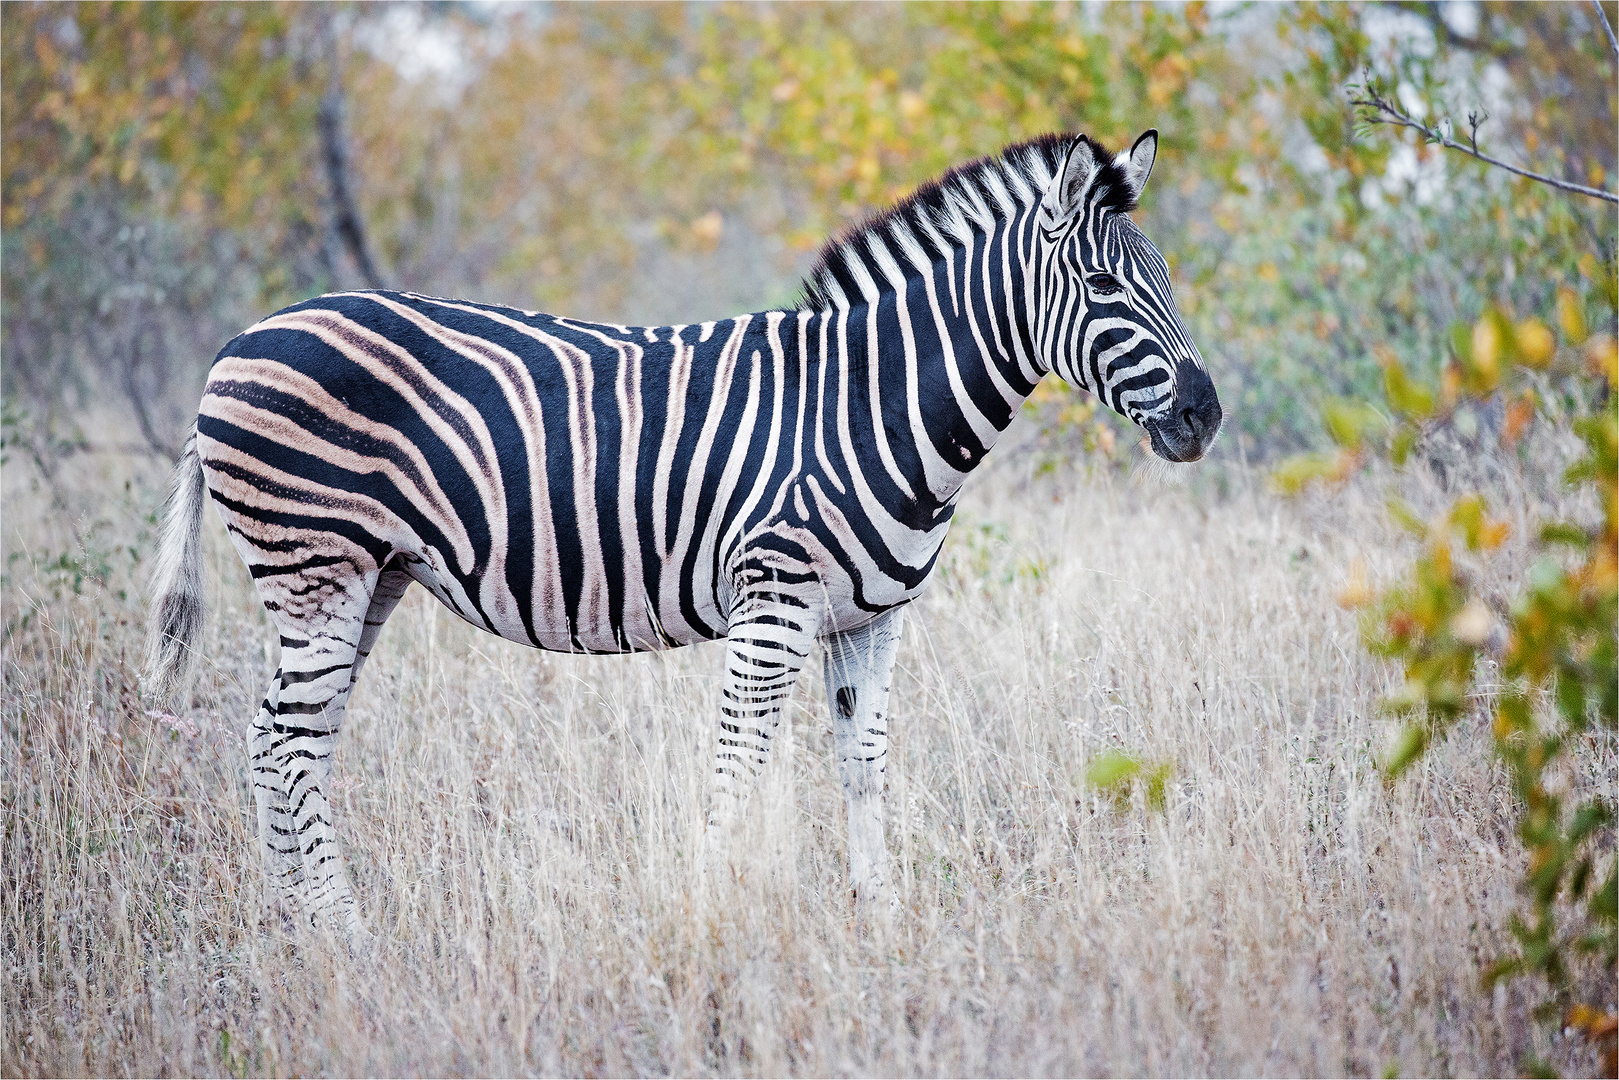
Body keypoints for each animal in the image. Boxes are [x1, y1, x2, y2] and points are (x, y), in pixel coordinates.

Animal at [145, 128, 1217, 939]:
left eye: (1165, 276)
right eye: (1103, 288)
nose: (1204, 417)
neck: (866, 403)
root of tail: (240, 341)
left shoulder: (872, 617)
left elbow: (862, 764)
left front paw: (878, 917)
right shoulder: (774, 600)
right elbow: (739, 763)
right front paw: (712, 912)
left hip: (371, 574)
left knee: (275, 737)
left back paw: (291, 929)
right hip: (315, 563)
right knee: (289, 743)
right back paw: (343, 933)